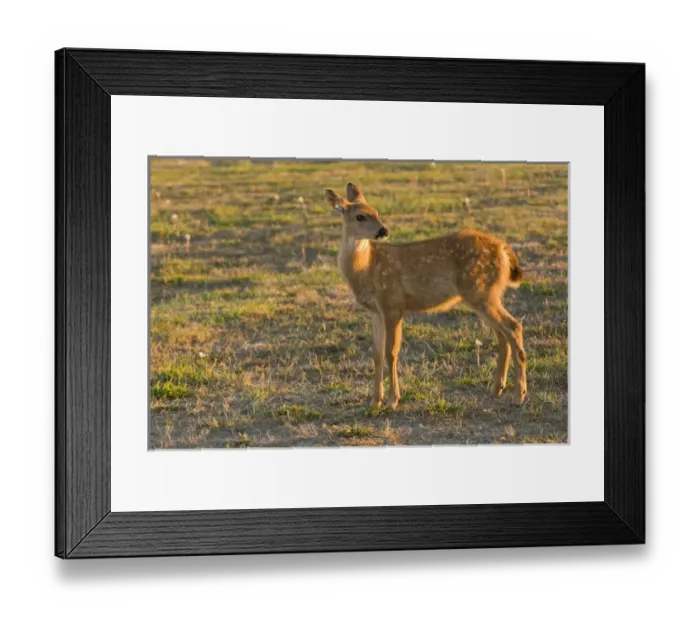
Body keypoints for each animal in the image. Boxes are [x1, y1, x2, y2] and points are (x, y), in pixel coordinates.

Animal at [324, 182, 527, 410]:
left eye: (376, 212)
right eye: (360, 216)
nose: (384, 230)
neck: (366, 268)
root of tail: (503, 249)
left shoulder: (393, 304)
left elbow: (391, 352)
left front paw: (392, 401)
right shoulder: (375, 311)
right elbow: (376, 353)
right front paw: (375, 400)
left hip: (480, 291)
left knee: (513, 327)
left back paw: (519, 395)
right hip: (486, 294)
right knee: (502, 334)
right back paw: (497, 389)